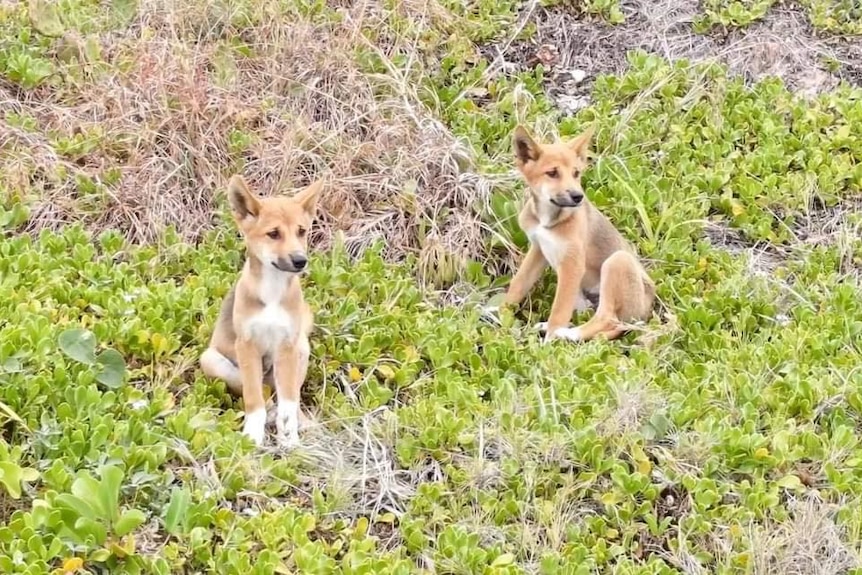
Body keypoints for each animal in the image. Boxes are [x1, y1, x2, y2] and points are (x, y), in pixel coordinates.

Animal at [202, 173, 324, 448]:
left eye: (301, 231)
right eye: (273, 234)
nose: (301, 261)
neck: (272, 294)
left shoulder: (287, 346)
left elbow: (288, 403)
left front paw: (289, 441)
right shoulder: (247, 346)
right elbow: (253, 398)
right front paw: (252, 437)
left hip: (301, 347)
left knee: (290, 397)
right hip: (211, 359)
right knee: (262, 394)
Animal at [492, 125, 656, 342]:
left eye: (576, 173)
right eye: (552, 173)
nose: (578, 196)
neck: (550, 220)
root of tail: (647, 311)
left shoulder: (572, 264)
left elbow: (559, 310)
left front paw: (548, 343)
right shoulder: (538, 249)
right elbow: (518, 285)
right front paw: (502, 319)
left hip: (618, 261)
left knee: (606, 318)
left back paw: (567, 333)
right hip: (584, 299)